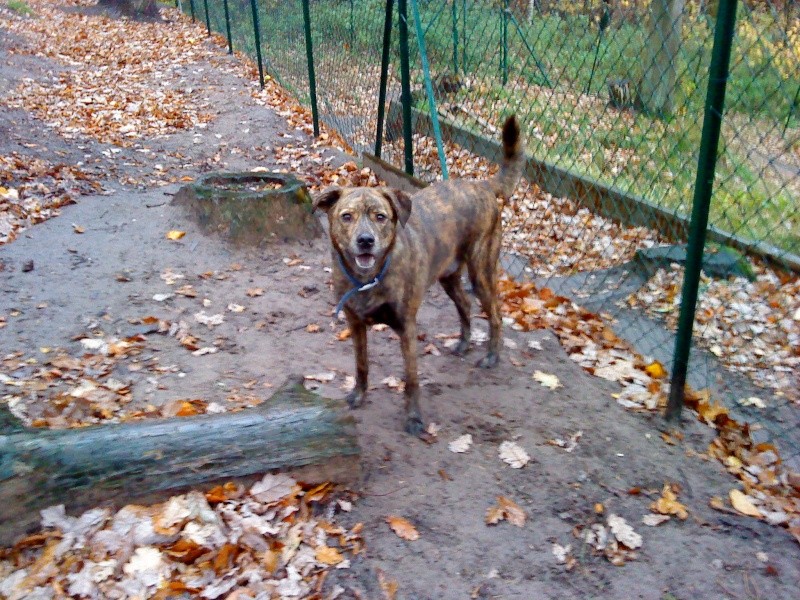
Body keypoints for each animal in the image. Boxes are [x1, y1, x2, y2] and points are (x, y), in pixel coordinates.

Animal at [312, 116, 524, 436]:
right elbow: (361, 365)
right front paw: (358, 396)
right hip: (449, 276)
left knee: (496, 315)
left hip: (481, 271)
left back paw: (491, 357)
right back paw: (463, 343)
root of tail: (481, 184)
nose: (365, 241)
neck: (368, 278)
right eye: (346, 216)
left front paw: (413, 418)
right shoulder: (355, 323)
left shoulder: (406, 328)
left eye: (380, 217)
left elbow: (411, 380)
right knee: (465, 304)